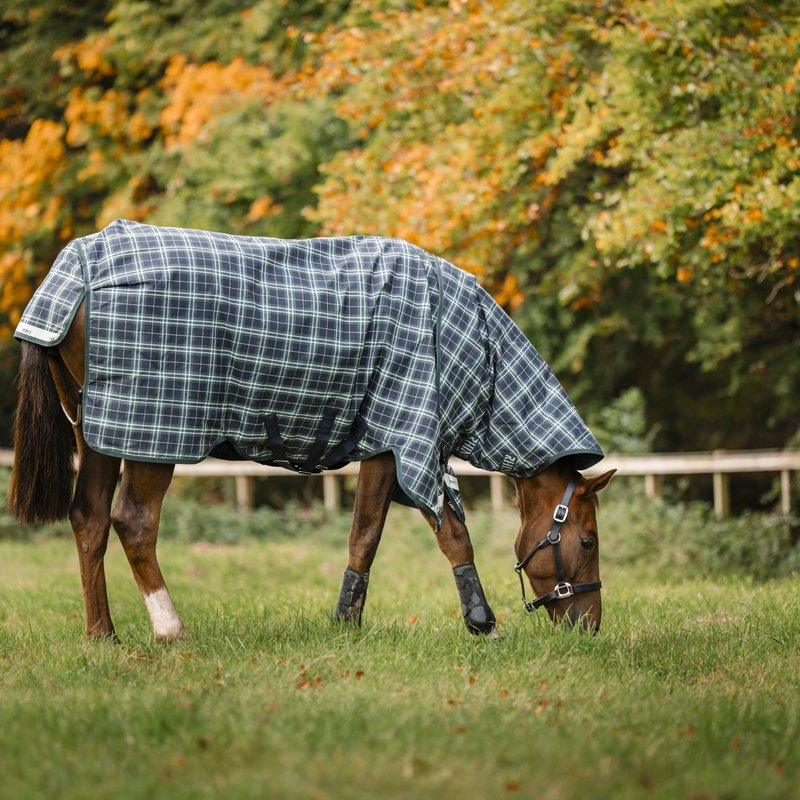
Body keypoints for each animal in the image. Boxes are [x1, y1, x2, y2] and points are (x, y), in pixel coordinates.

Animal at [8, 221, 614, 640]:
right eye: (587, 540)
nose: (590, 626)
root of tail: (76, 266)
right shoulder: (404, 439)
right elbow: (415, 534)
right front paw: (476, 621)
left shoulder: (396, 445)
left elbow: (384, 535)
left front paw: (353, 621)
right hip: (151, 436)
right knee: (133, 522)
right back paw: (170, 630)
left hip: (97, 431)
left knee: (88, 519)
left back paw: (103, 636)